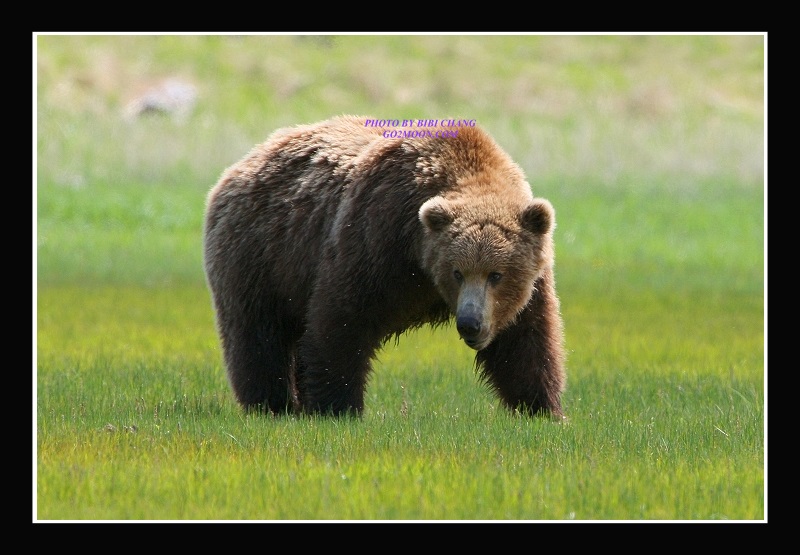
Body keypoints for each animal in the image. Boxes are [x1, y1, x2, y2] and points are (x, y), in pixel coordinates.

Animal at [203, 115, 566, 418]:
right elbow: (340, 319)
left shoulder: (533, 281)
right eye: (457, 272)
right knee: (258, 335)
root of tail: (240, 166)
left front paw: (541, 409)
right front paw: (336, 408)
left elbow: (525, 341)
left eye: (496, 274)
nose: (469, 323)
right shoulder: (376, 236)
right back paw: (272, 405)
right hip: (260, 254)